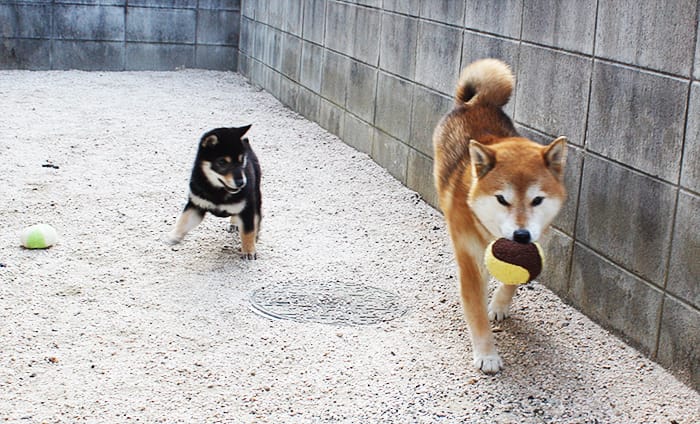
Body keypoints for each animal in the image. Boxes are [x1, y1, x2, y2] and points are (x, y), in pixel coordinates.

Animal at [167, 124, 262, 260]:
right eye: (222, 162)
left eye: (241, 160)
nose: (241, 182)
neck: (218, 191)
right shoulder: (196, 205)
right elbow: (184, 220)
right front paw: (174, 235)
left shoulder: (247, 208)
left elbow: (248, 231)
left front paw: (249, 250)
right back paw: (234, 223)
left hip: (256, 195)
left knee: (257, 218)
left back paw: (256, 234)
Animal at [432, 58, 568, 372]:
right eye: (502, 199)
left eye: (537, 200)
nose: (521, 234)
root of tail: (477, 101)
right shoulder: (470, 263)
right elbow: (476, 313)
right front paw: (487, 355)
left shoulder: (535, 243)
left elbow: (512, 280)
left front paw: (499, 305)